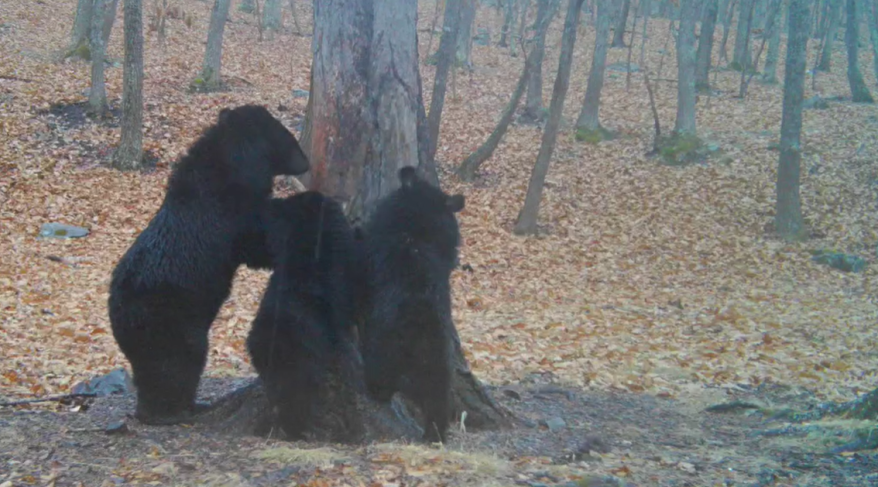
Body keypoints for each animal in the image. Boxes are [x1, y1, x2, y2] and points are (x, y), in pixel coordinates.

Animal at [108, 105, 312, 426]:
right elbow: (258, 242)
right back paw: (174, 410)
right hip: (170, 319)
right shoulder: (230, 213)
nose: (306, 161)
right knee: (179, 362)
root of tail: (115, 310)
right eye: (288, 139)